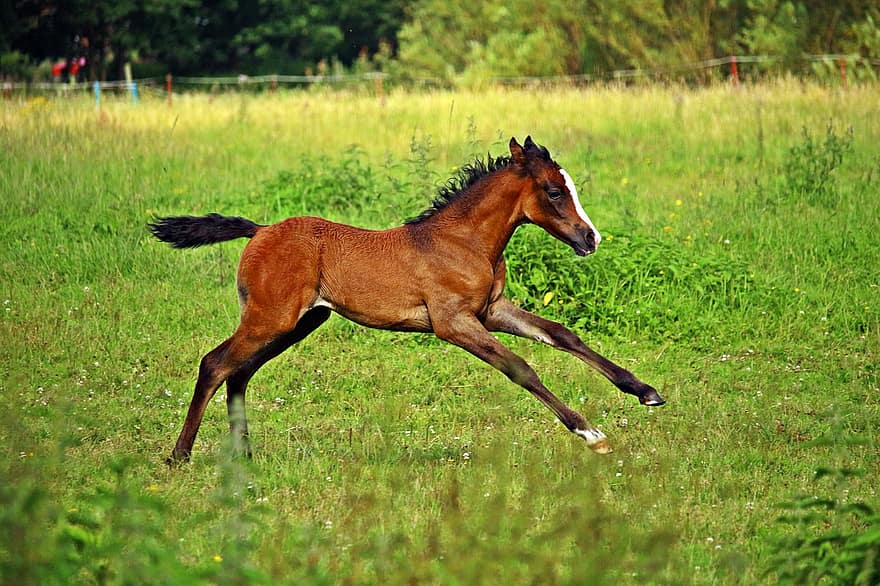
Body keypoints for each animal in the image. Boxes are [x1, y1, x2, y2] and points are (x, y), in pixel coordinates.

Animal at [151, 137, 664, 460]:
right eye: (555, 191)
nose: (590, 238)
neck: (463, 241)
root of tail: (259, 231)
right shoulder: (453, 323)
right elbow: (521, 367)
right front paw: (590, 433)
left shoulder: (491, 311)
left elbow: (561, 334)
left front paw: (646, 392)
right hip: (270, 319)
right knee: (215, 364)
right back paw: (180, 455)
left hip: (297, 323)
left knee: (239, 373)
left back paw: (245, 454)